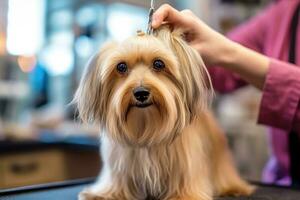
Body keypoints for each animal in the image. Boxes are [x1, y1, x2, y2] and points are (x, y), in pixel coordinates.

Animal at [73, 26, 253, 200]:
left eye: (159, 64)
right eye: (121, 67)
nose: (141, 93)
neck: (146, 126)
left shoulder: (185, 163)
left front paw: (184, 196)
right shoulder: (120, 163)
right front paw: (105, 193)